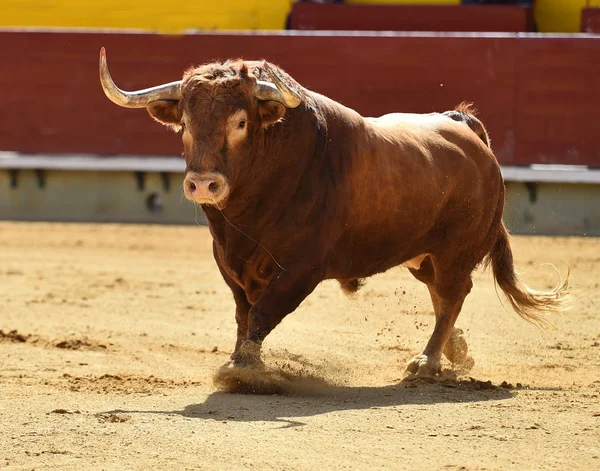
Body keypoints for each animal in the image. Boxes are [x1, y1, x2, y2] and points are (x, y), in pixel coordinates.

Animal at [98, 48, 568, 380]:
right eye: (185, 123)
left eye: (240, 123)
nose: (202, 183)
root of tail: (466, 128)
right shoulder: (229, 263)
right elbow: (243, 314)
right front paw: (241, 360)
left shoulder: (302, 267)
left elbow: (262, 313)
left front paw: (240, 370)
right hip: (424, 256)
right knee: (442, 294)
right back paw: (457, 351)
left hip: (455, 250)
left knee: (453, 294)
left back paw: (428, 362)